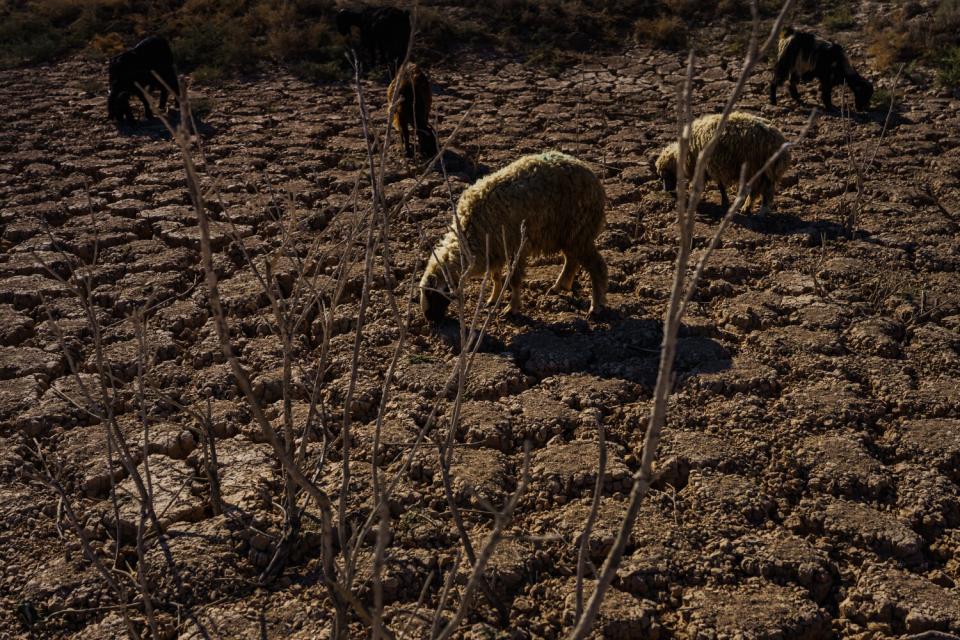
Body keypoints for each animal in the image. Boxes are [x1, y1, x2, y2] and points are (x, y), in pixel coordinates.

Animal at [420, 149, 608, 320]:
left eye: (432, 294)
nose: (430, 319)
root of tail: (589, 172)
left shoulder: (515, 248)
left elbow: (513, 280)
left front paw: (512, 308)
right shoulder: (495, 251)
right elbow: (495, 276)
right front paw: (492, 299)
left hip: (580, 231)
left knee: (597, 266)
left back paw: (596, 307)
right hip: (566, 234)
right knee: (571, 260)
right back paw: (559, 287)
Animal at [656, 111, 792, 216]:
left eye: (665, 175)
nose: (666, 191)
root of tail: (778, 142)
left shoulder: (710, 167)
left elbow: (719, 186)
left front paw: (723, 202)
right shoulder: (714, 167)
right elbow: (720, 185)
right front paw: (725, 202)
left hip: (756, 168)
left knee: (758, 190)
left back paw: (752, 210)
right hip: (766, 171)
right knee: (765, 189)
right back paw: (756, 210)